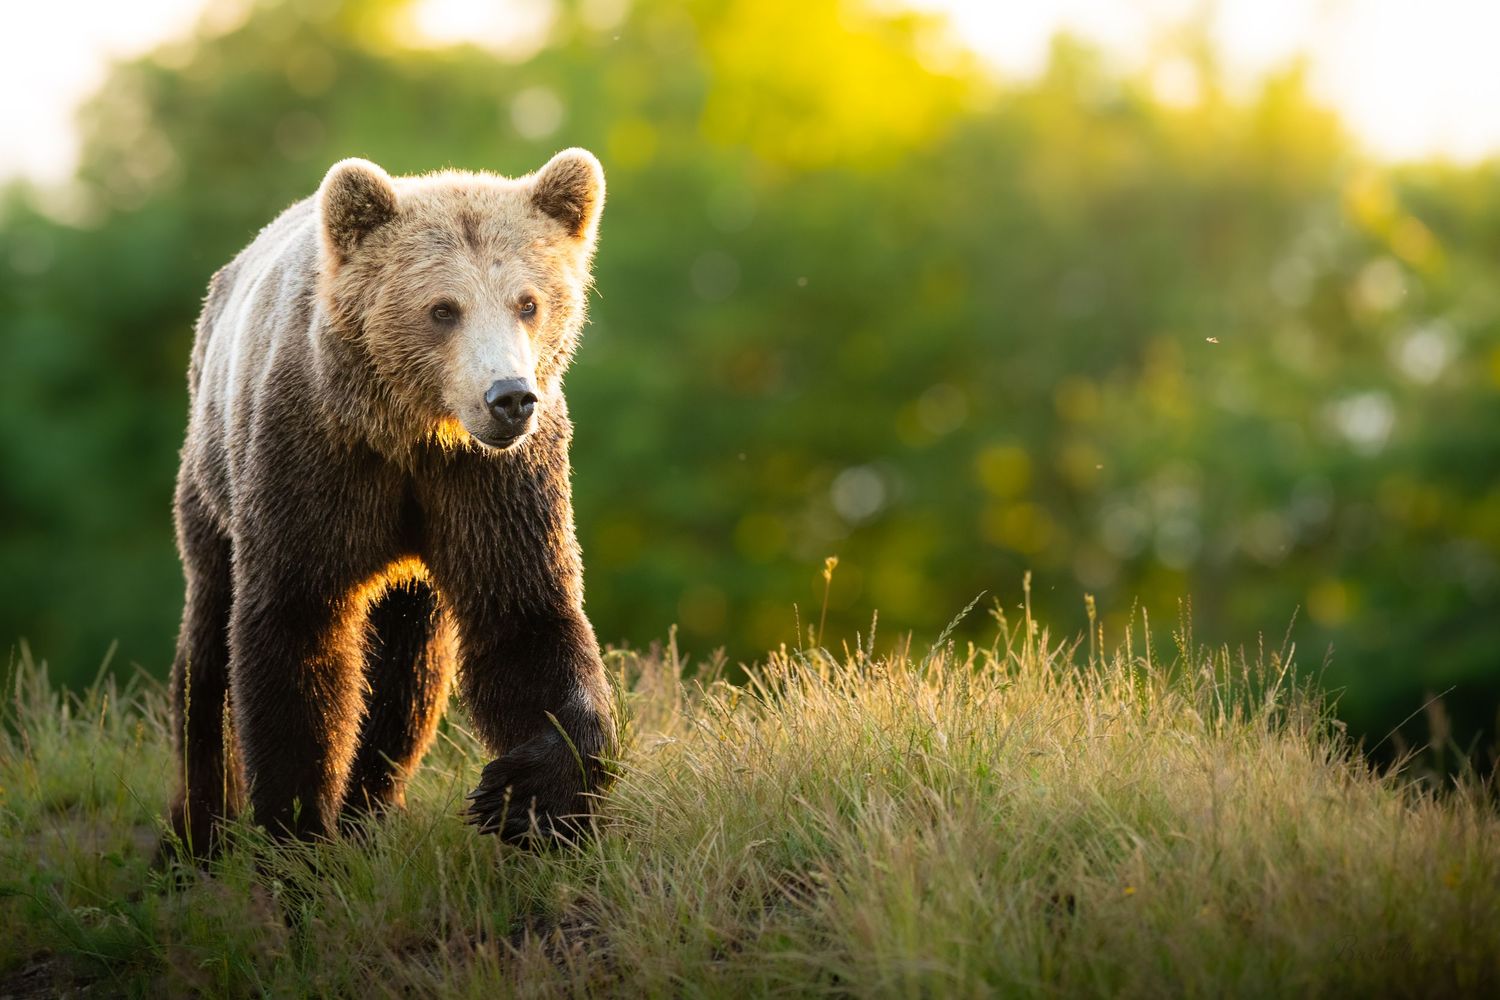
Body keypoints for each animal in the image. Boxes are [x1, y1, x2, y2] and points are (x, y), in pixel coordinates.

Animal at [164, 149, 616, 859]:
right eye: (443, 309)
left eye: (529, 303)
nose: (510, 397)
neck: (408, 431)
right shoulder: (311, 459)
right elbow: (295, 627)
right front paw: (297, 830)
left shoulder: (491, 481)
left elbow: (526, 616)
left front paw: (527, 797)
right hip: (212, 482)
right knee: (206, 649)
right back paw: (197, 832)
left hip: (414, 577)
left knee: (409, 672)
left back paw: (370, 809)